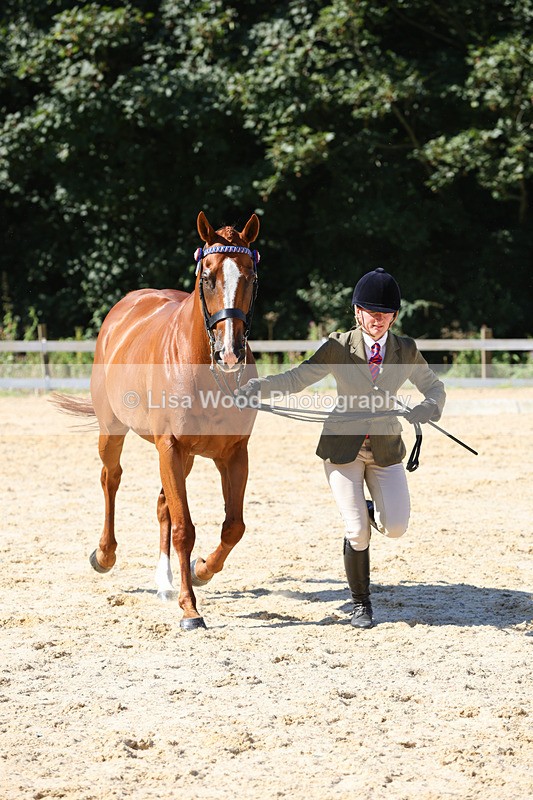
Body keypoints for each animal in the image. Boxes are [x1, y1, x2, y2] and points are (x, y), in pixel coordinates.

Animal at [56, 212, 260, 629]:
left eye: (250, 277)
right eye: (207, 277)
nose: (231, 353)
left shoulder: (233, 453)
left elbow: (233, 527)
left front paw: (200, 570)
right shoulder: (170, 447)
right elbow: (185, 529)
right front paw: (190, 609)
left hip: (186, 457)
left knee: (163, 504)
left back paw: (166, 582)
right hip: (114, 432)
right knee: (111, 478)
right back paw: (105, 555)